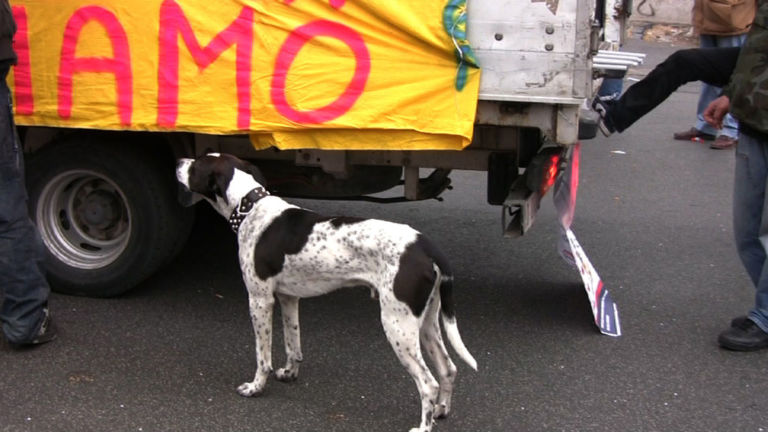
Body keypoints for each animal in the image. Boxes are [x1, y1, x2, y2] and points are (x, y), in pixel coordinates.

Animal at [177, 154, 476, 430]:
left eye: (197, 164)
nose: (179, 161)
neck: (251, 208)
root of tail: (426, 246)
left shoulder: (259, 301)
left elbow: (262, 356)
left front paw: (256, 387)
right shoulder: (289, 298)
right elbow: (293, 344)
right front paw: (290, 373)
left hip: (397, 326)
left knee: (428, 383)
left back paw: (424, 425)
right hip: (426, 323)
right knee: (448, 369)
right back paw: (441, 411)